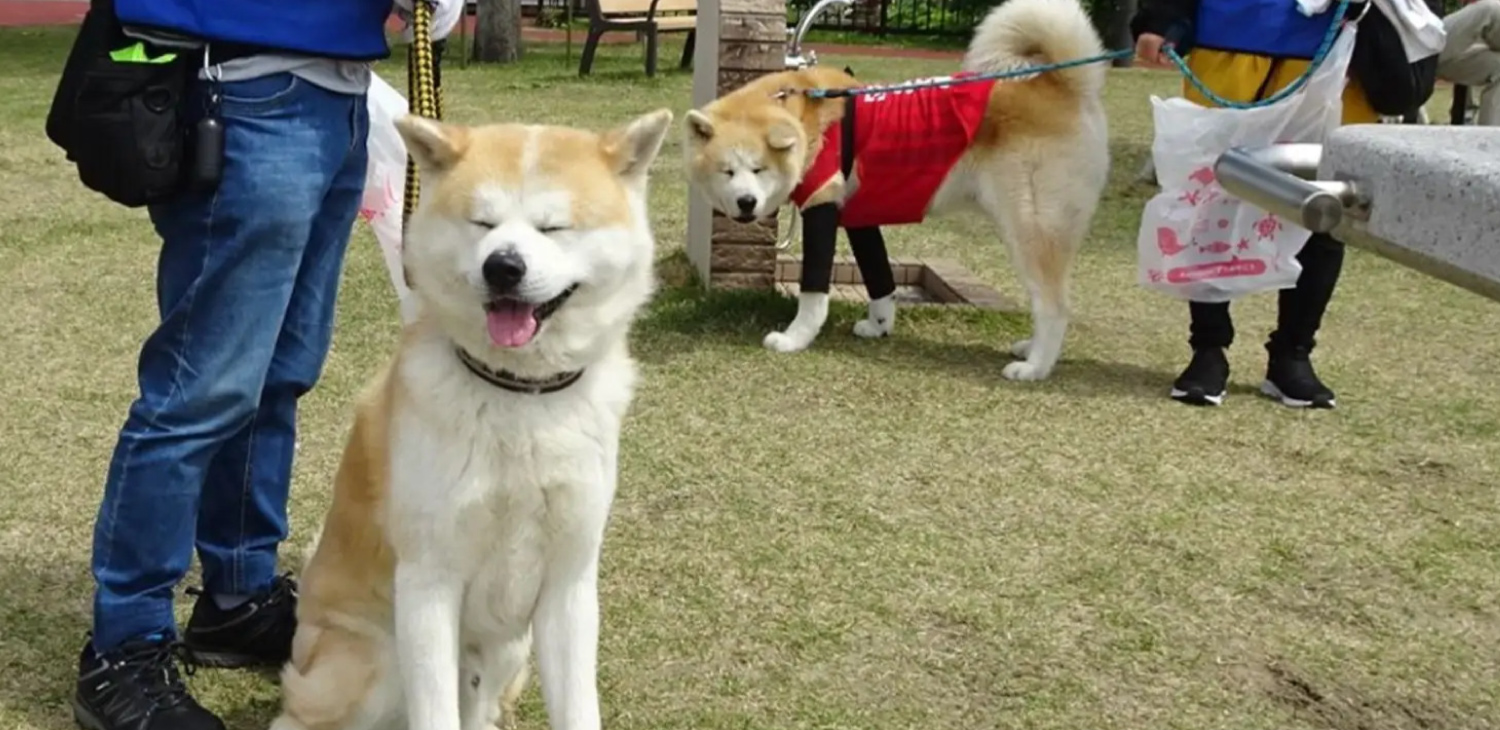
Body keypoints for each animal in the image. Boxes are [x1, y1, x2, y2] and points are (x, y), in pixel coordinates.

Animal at [267, 108, 672, 730]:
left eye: (554, 227)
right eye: (483, 223)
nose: (503, 266)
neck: (519, 395)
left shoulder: (569, 584)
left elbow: (578, 707)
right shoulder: (429, 581)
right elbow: (436, 713)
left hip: (508, 652)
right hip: (374, 665)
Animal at [687, 0, 1110, 382]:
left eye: (759, 169)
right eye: (728, 172)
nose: (746, 202)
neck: (806, 121)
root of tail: (1064, 86)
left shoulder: (822, 206)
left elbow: (813, 293)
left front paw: (795, 339)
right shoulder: (858, 215)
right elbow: (880, 278)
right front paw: (878, 326)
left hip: (1030, 227)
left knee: (1053, 305)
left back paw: (1035, 367)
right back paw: (1029, 349)